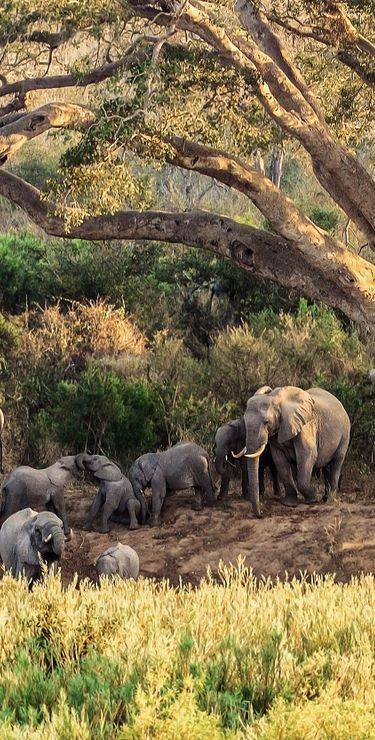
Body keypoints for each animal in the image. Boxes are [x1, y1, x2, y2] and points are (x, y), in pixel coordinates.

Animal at [239, 384, 352, 516]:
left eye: (266, 422)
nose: (261, 513)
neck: (275, 398)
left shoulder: (305, 425)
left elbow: (307, 454)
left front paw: (313, 499)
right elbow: (279, 460)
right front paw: (289, 503)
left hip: (345, 434)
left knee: (336, 462)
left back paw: (330, 499)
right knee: (326, 467)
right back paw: (325, 497)